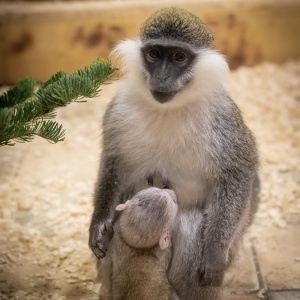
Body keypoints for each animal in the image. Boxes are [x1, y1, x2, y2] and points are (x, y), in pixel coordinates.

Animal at [88, 7, 258, 300]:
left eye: (179, 57)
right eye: (155, 54)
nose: (162, 78)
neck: (169, 108)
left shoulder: (223, 117)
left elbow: (238, 173)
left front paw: (214, 255)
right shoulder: (119, 108)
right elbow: (113, 161)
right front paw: (99, 225)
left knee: (191, 226)